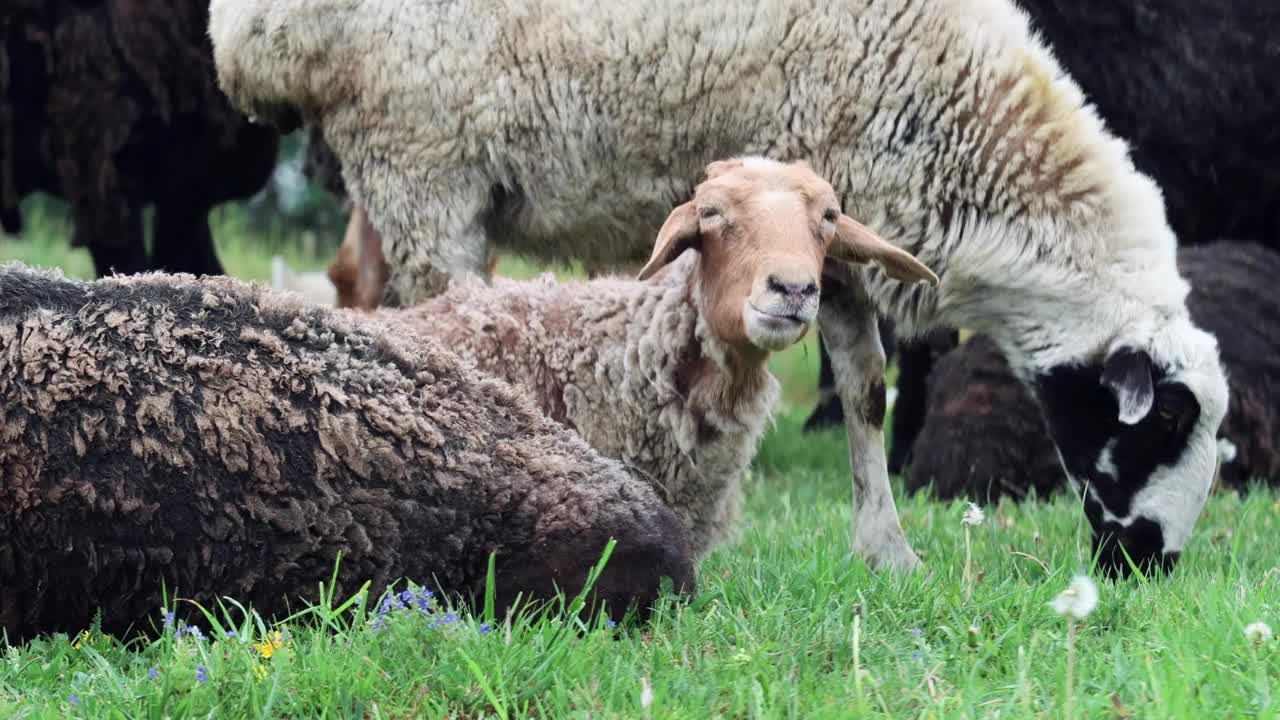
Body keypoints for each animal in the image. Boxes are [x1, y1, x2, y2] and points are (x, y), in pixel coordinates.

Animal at [209, 0, 1228, 571]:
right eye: (1167, 420)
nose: (1154, 565)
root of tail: (247, 27)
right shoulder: (833, 196)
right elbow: (864, 381)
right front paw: (889, 547)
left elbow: (863, 391)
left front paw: (885, 552)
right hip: (420, 147)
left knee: (360, 280)